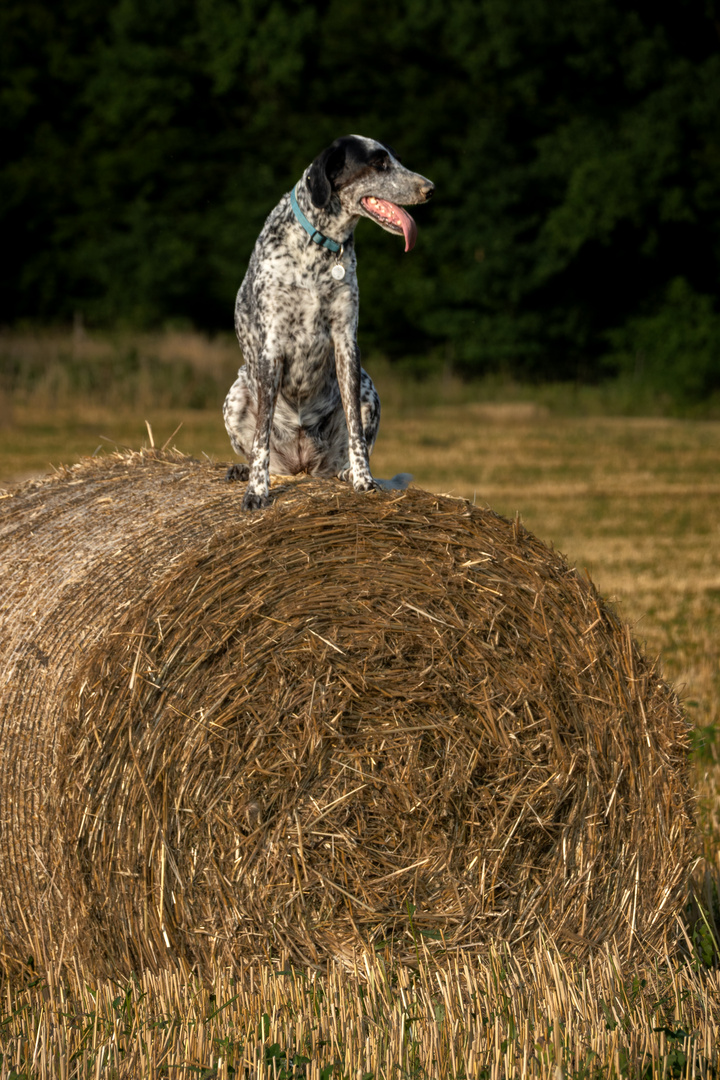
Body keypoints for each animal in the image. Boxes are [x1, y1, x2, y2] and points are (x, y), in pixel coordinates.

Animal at [222, 135, 433, 509]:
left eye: (396, 159)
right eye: (379, 164)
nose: (430, 188)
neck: (321, 247)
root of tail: (303, 467)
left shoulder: (346, 342)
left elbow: (356, 433)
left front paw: (363, 480)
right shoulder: (271, 348)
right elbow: (260, 437)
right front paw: (257, 490)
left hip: (369, 389)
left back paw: (346, 472)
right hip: (236, 394)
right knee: (260, 450)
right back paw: (244, 471)